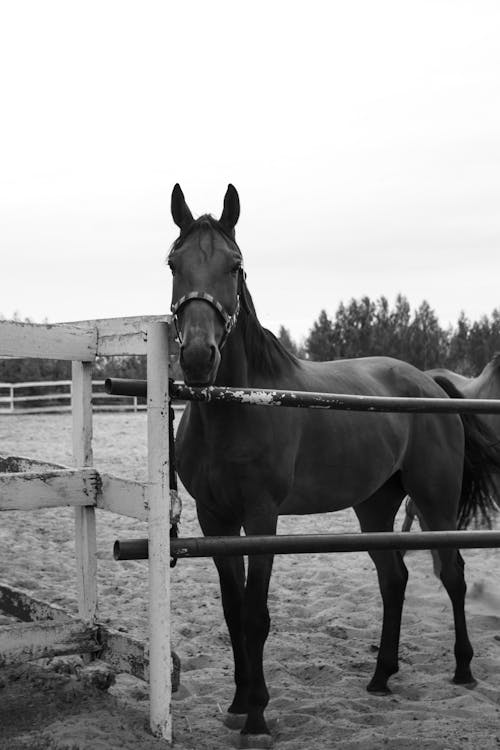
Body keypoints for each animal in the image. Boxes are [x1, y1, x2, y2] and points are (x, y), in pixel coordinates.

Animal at [169, 185, 500, 748]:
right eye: (173, 262)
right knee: (394, 579)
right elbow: (232, 612)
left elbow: (255, 615)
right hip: (374, 506)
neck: (239, 403)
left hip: (433, 500)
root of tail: (428, 382)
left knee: (452, 573)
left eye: (235, 266)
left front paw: (257, 717)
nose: (197, 356)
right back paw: (381, 676)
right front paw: (236, 705)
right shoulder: (215, 521)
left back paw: (463, 670)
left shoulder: (261, 519)